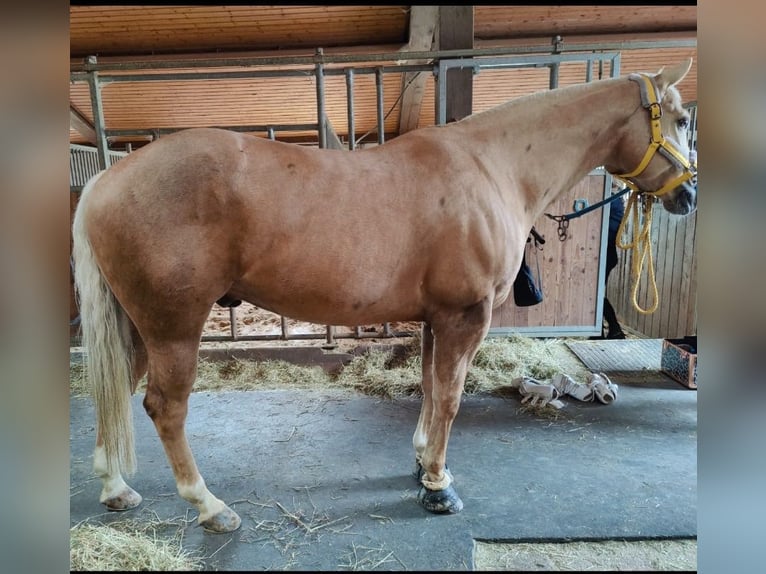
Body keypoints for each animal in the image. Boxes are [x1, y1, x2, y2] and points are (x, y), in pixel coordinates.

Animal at [73, 58, 704, 536]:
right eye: (678, 119)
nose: (690, 195)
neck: (493, 167)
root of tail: (107, 179)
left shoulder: (434, 319)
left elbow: (428, 390)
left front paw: (422, 462)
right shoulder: (464, 318)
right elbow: (449, 399)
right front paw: (439, 488)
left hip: (135, 326)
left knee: (116, 389)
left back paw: (115, 488)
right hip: (174, 326)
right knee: (165, 407)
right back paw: (209, 507)